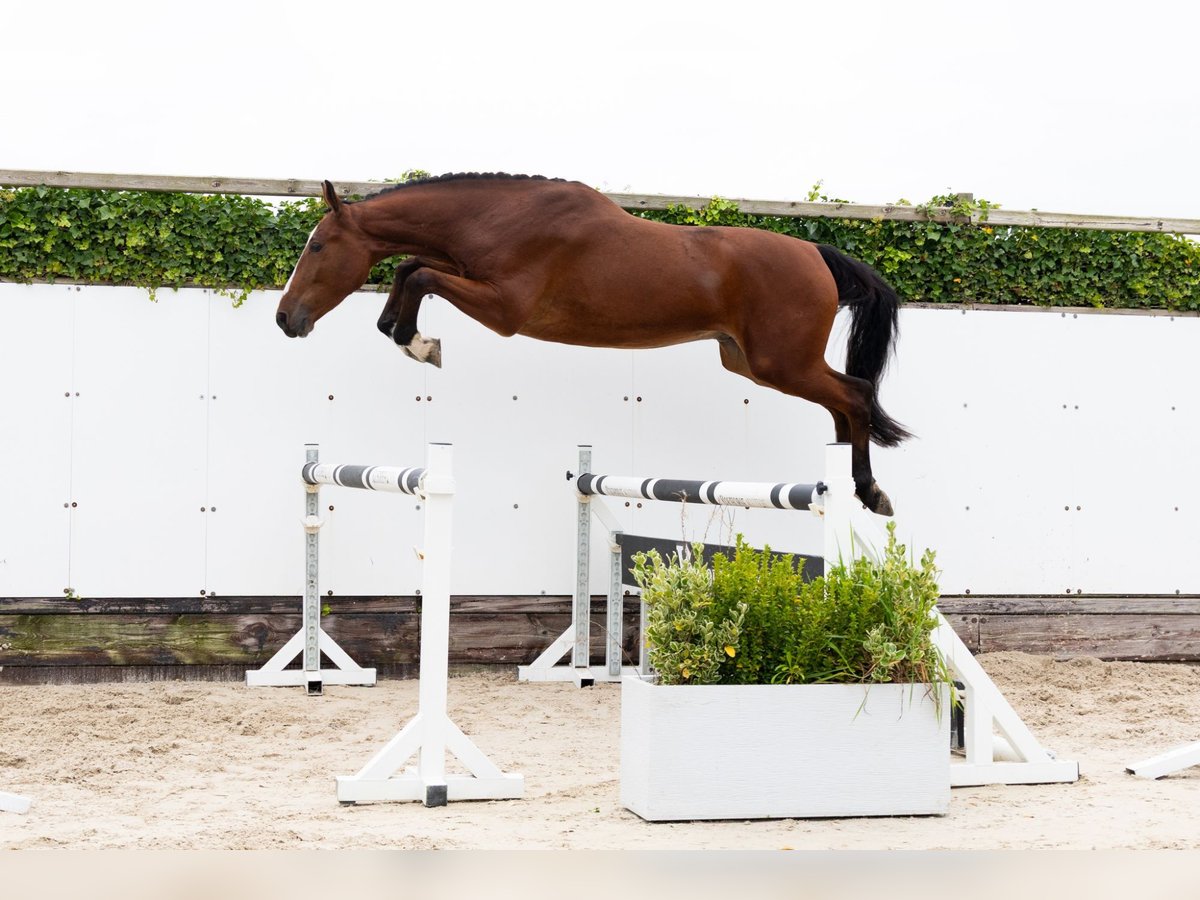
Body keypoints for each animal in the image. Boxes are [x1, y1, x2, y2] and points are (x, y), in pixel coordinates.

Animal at [276, 174, 911, 515]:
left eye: (317, 247)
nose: (286, 319)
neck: (497, 217)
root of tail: (816, 253)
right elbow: (412, 268)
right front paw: (404, 332)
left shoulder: (505, 309)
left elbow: (421, 274)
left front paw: (419, 343)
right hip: (752, 363)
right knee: (841, 403)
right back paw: (846, 482)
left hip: (782, 362)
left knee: (855, 394)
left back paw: (868, 490)